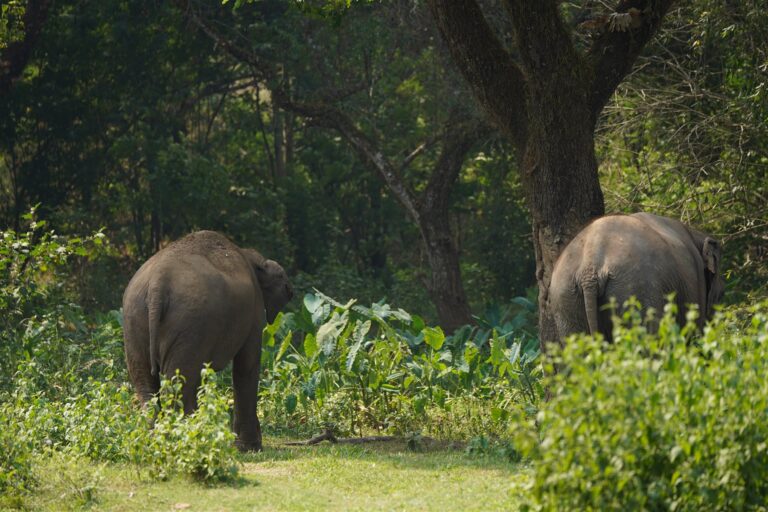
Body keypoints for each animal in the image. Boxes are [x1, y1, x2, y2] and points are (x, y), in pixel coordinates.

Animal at [122, 230, 292, 451]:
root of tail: (157, 284)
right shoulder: (254, 311)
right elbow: (246, 365)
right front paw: (249, 448)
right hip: (189, 322)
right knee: (178, 382)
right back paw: (188, 439)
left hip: (134, 320)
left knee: (146, 383)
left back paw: (156, 442)